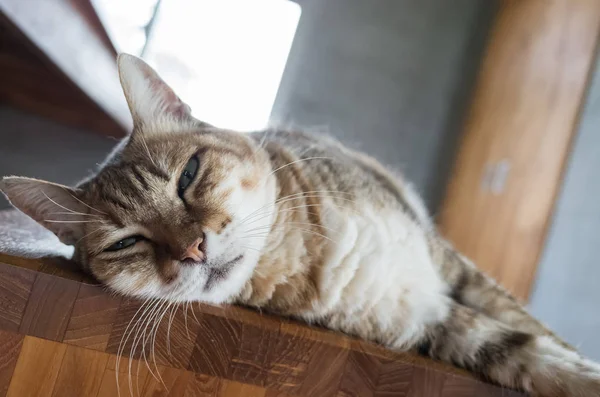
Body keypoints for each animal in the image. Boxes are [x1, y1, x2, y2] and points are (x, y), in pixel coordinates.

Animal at [1, 53, 600, 396]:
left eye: (188, 175)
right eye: (128, 242)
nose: (194, 249)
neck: (310, 257)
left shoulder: (448, 266)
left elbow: (532, 327)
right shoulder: (429, 320)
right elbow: (515, 349)